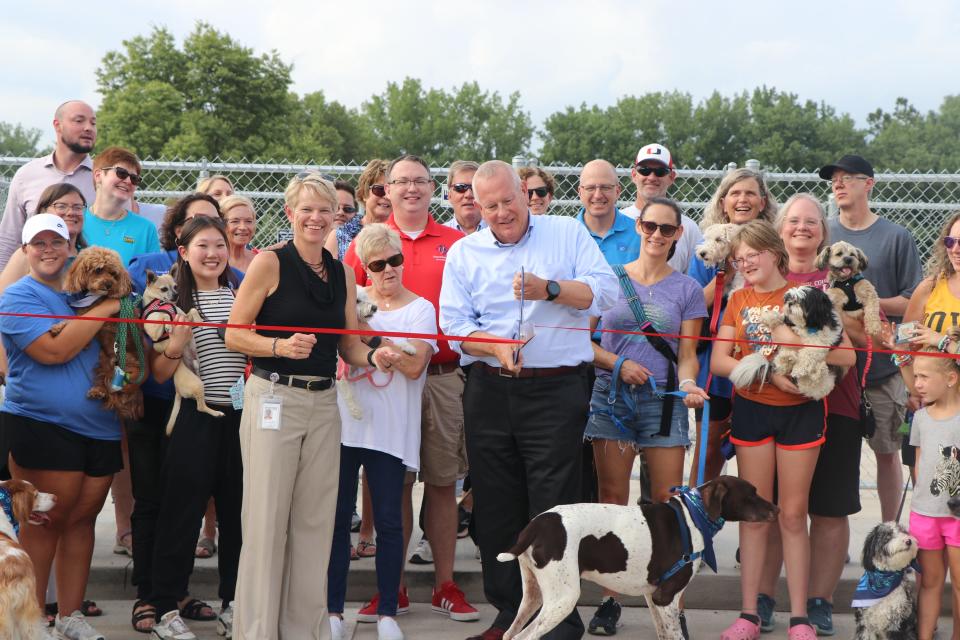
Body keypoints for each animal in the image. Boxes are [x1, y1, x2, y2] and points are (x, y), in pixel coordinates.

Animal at [498, 476, 776, 640]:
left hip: (534, 595)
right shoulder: (666, 598)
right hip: (563, 598)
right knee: (524, 637)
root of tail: (536, 524)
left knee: (510, 634)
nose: (777, 508)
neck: (694, 515)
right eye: (751, 493)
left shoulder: (653, 597)